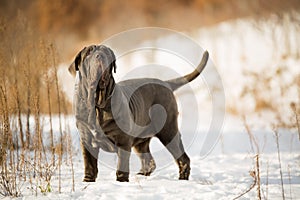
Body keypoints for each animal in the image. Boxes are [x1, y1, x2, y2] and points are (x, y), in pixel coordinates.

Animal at [68, 44, 209, 182]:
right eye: (88, 53)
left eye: (106, 53)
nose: (100, 56)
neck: (97, 104)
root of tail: (165, 83)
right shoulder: (86, 140)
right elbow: (89, 165)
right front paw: (88, 181)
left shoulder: (123, 141)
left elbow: (122, 165)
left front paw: (121, 182)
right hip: (141, 140)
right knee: (149, 160)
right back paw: (142, 175)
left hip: (168, 131)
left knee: (182, 158)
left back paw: (182, 179)